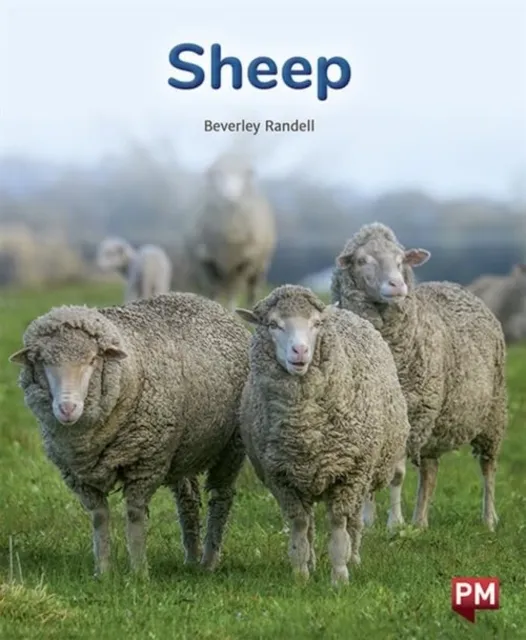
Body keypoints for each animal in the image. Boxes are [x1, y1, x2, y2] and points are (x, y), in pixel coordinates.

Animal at [8, 292, 250, 577]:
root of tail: (207, 302)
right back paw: (191, 557)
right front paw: (103, 571)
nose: (67, 408)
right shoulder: (80, 476)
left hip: (230, 446)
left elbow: (135, 515)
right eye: (43, 362)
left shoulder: (145, 463)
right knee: (187, 499)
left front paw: (138, 572)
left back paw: (209, 561)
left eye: (93, 360)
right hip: (183, 450)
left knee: (220, 497)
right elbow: (99, 517)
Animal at [187, 152, 276, 311]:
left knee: (251, 292)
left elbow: (233, 295)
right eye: (217, 174)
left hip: (260, 266)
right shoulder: (206, 261)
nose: (230, 195)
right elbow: (212, 291)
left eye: (245, 174)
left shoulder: (244, 262)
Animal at [235, 285, 410, 585]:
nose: (300, 350)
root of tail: (340, 310)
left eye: (316, 324)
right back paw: (313, 561)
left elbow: (339, 524)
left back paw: (354, 557)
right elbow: (299, 524)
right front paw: (300, 573)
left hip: (364, 472)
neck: (303, 427)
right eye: (273, 324)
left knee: (353, 520)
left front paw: (340, 575)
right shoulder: (283, 478)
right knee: (310, 524)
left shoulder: (348, 474)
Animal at [331, 222, 508, 531]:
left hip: (492, 415)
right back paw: (421, 521)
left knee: (488, 468)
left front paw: (394, 524)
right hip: (435, 421)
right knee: (430, 470)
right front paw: (367, 521)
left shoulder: (411, 417)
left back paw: (488, 519)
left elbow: (396, 474)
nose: (397, 285)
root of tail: (455, 285)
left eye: (401, 260)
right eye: (362, 260)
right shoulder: (377, 421)